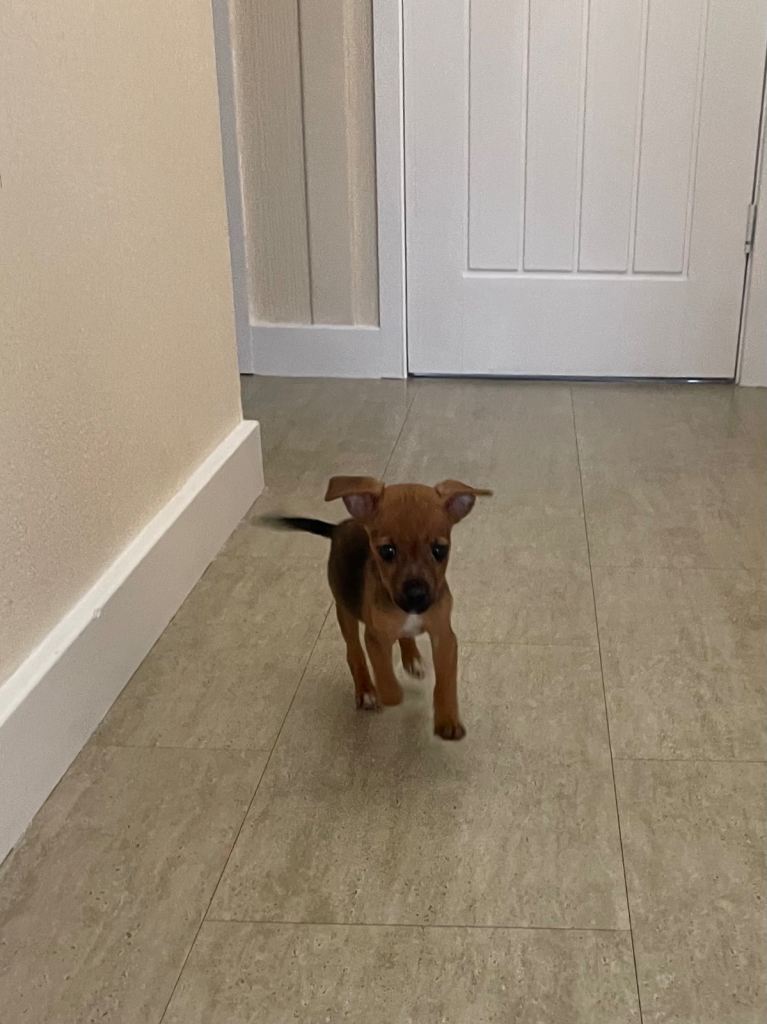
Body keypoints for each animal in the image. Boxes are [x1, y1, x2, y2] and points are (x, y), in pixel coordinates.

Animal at [268, 476, 491, 740]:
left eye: (439, 550)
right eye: (387, 551)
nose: (416, 596)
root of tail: (338, 528)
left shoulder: (444, 636)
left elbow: (446, 680)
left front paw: (447, 719)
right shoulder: (375, 638)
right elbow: (385, 677)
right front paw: (390, 694)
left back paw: (411, 658)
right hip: (345, 611)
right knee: (354, 653)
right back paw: (365, 689)